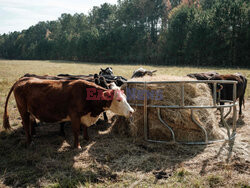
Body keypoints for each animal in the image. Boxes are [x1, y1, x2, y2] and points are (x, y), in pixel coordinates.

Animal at [2, 76, 134, 148]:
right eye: (118, 99)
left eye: (125, 97)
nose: (131, 111)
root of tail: (22, 79)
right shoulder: (74, 115)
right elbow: (76, 130)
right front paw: (77, 146)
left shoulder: (85, 116)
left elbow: (85, 128)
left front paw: (87, 139)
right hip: (23, 110)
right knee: (25, 124)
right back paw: (29, 142)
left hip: (29, 112)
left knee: (29, 123)